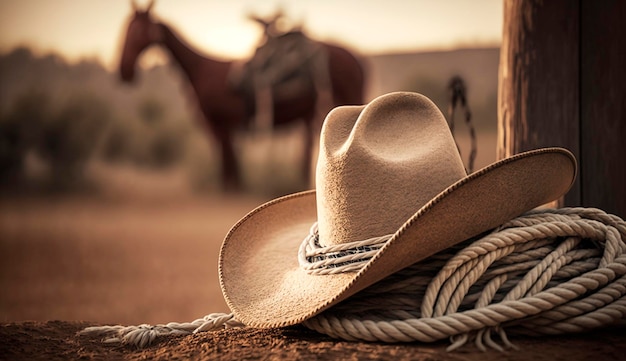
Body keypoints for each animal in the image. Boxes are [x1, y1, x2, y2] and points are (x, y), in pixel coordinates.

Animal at [117, 2, 364, 190]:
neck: (201, 70)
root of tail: (355, 57)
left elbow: (228, 159)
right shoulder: (220, 126)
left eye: (136, 32)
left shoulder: (223, 124)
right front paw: (232, 186)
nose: (123, 71)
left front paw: (231, 189)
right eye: (125, 30)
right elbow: (229, 160)